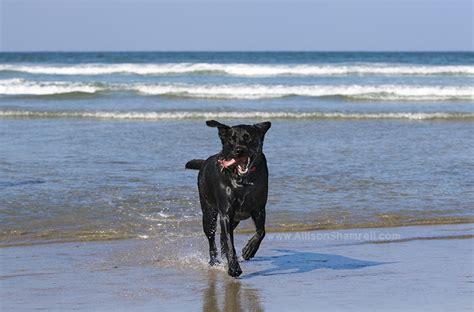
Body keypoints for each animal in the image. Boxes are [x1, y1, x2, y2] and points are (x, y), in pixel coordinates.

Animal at [187, 120, 272, 278]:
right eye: (231, 139)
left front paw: (248, 250)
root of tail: (204, 163)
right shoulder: (226, 213)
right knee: (212, 238)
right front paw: (234, 268)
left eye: (248, 138)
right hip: (208, 213)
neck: (243, 182)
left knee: (221, 237)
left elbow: (261, 232)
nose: (239, 150)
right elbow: (230, 243)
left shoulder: (259, 209)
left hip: (236, 220)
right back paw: (214, 261)